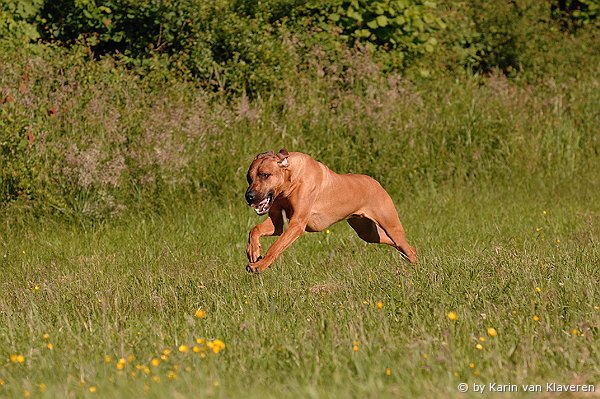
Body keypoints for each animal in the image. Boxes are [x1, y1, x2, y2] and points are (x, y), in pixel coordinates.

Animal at [244, 151, 418, 276]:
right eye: (248, 178)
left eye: (265, 175)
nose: (249, 196)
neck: (291, 178)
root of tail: (376, 183)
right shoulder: (277, 222)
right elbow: (255, 230)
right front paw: (253, 251)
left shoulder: (297, 224)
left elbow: (276, 246)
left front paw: (260, 265)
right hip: (368, 233)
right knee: (401, 246)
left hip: (391, 226)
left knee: (405, 246)